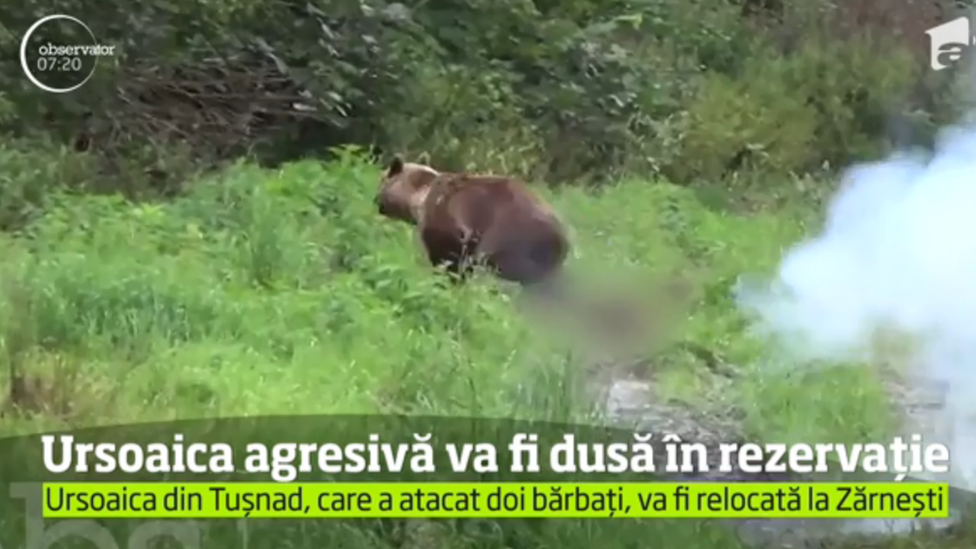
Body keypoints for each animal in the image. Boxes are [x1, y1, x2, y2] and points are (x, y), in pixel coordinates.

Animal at [376, 155, 572, 286]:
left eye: (381, 180)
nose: (376, 201)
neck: (420, 197)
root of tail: (565, 236)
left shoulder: (450, 220)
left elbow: (447, 256)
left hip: (516, 236)